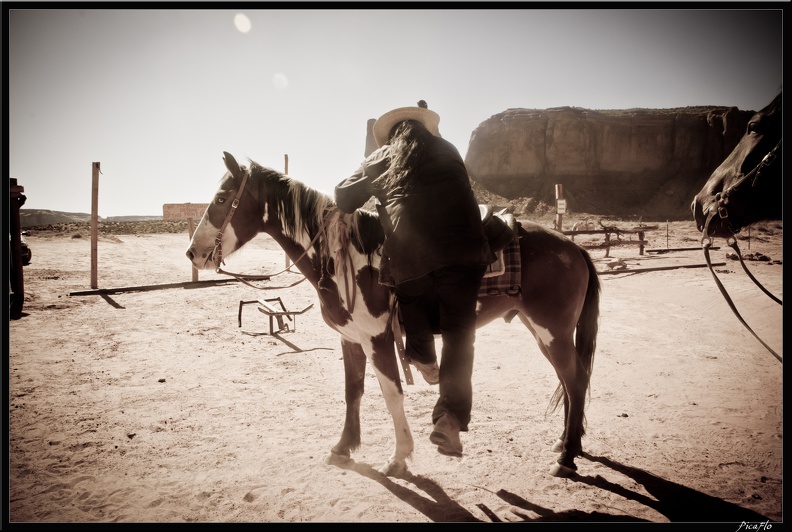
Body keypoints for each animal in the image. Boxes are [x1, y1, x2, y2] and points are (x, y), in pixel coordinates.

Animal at [187, 151, 600, 478]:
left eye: (222, 197)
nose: (193, 253)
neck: (347, 257)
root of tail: (574, 249)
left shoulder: (379, 339)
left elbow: (391, 394)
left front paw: (399, 458)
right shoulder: (350, 338)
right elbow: (353, 391)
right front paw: (343, 448)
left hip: (552, 332)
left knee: (576, 381)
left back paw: (566, 458)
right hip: (543, 332)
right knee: (569, 382)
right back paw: (566, 444)